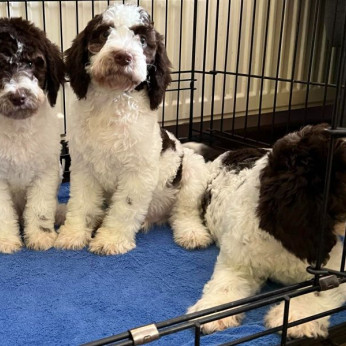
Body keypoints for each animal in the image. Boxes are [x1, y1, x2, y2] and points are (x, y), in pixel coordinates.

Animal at [0, 17, 65, 253]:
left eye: (31, 63)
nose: (18, 97)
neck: (18, 129)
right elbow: (3, 214)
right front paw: (6, 241)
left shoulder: (45, 171)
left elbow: (40, 208)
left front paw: (40, 236)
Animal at [54, 4, 184, 255]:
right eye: (105, 34)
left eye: (142, 40)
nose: (123, 56)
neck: (112, 101)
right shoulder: (84, 166)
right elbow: (82, 202)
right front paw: (73, 234)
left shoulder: (137, 171)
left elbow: (125, 206)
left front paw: (110, 239)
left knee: (186, 211)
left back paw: (192, 233)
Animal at [170, 124, 346, 338]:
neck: (279, 241)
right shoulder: (237, 263)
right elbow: (225, 286)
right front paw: (212, 312)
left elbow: (320, 287)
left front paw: (296, 315)